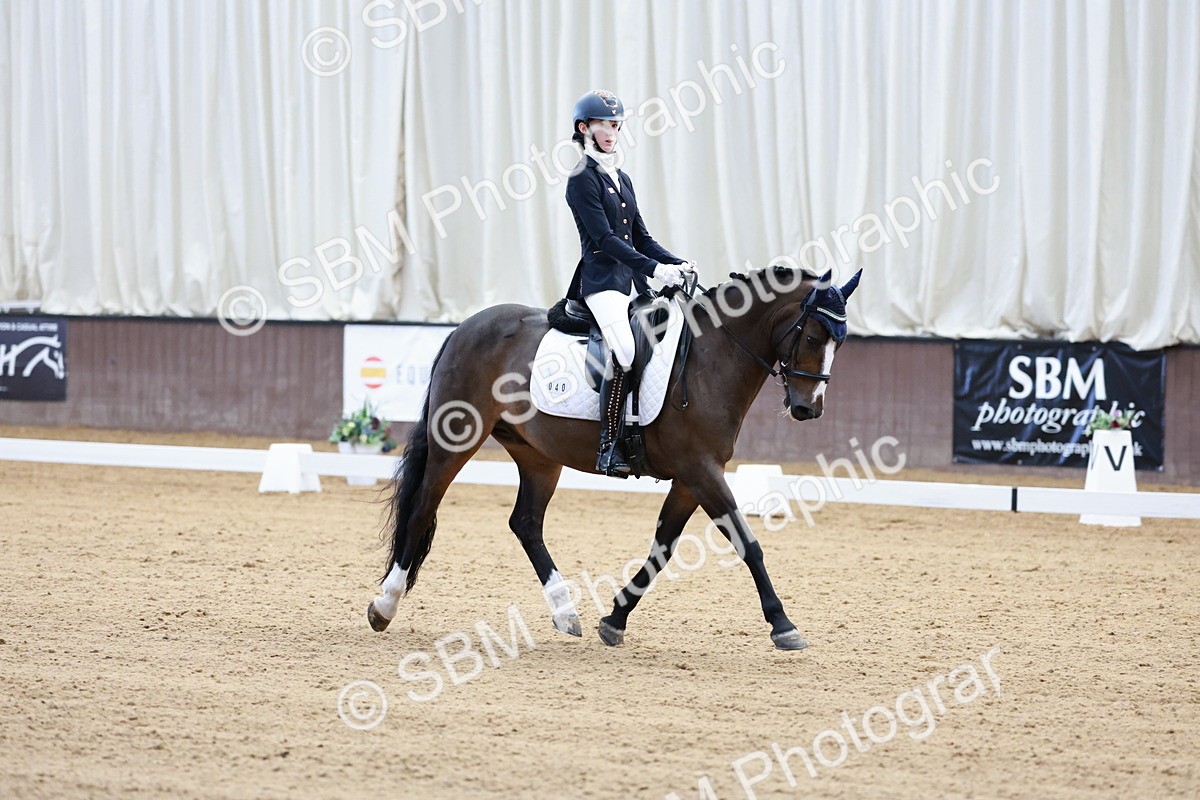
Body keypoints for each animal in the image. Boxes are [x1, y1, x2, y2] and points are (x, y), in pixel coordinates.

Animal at [366, 265, 862, 650]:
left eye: (841, 341)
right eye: (813, 335)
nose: (808, 409)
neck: (711, 357)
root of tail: (463, 328)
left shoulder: (691, 478)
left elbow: (663, 547)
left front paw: (615, 619)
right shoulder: (700, 470)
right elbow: (747, 542)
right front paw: (783, 625)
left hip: (537, 454)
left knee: (525, 522)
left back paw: (566, 613)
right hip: (457, 438)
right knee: (423, 505)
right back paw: (384, 606)